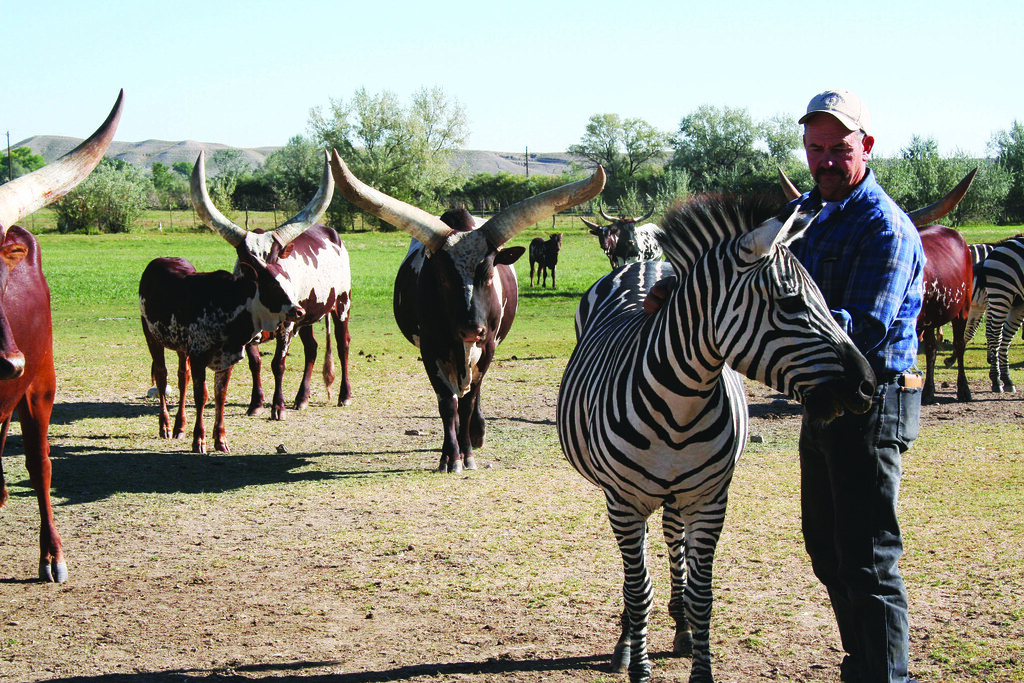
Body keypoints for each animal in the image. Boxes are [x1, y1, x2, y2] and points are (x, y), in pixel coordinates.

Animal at [139, 150, 334, 453]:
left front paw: (220, 439)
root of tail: (160, 260)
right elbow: (202, 394)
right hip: (152, 336)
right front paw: (200, 440)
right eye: (268, 284)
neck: (228, 308)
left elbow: (221, 394)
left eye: (283, 273)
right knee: (162, 375)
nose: (298, 309)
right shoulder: (199, 354)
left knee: (181, 377)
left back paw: (180, 426)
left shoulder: (227, 357)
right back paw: (166, 426)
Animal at [330, 150, 605, 473]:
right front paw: (451, 457)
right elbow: (448, 404)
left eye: (489, 272)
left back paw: (476, 433)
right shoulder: (431, 350)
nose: (472, 329)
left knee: (475, 391)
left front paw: (468, 452)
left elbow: (470, 401)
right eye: (443, 277)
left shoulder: (487, 347)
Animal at [556, 194, 876, 683]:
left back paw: (680, 627)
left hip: (678, 495)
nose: (868, 386)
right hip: (624, 497)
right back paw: (626, 641)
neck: (680, 405)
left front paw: (696, 651)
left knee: (671, 538)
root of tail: (644, 264)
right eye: (790, 302)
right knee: (638, 568)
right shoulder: (624, 501)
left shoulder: (709, 499)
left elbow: (703, 594)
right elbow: (638, 589)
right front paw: (638, 664)